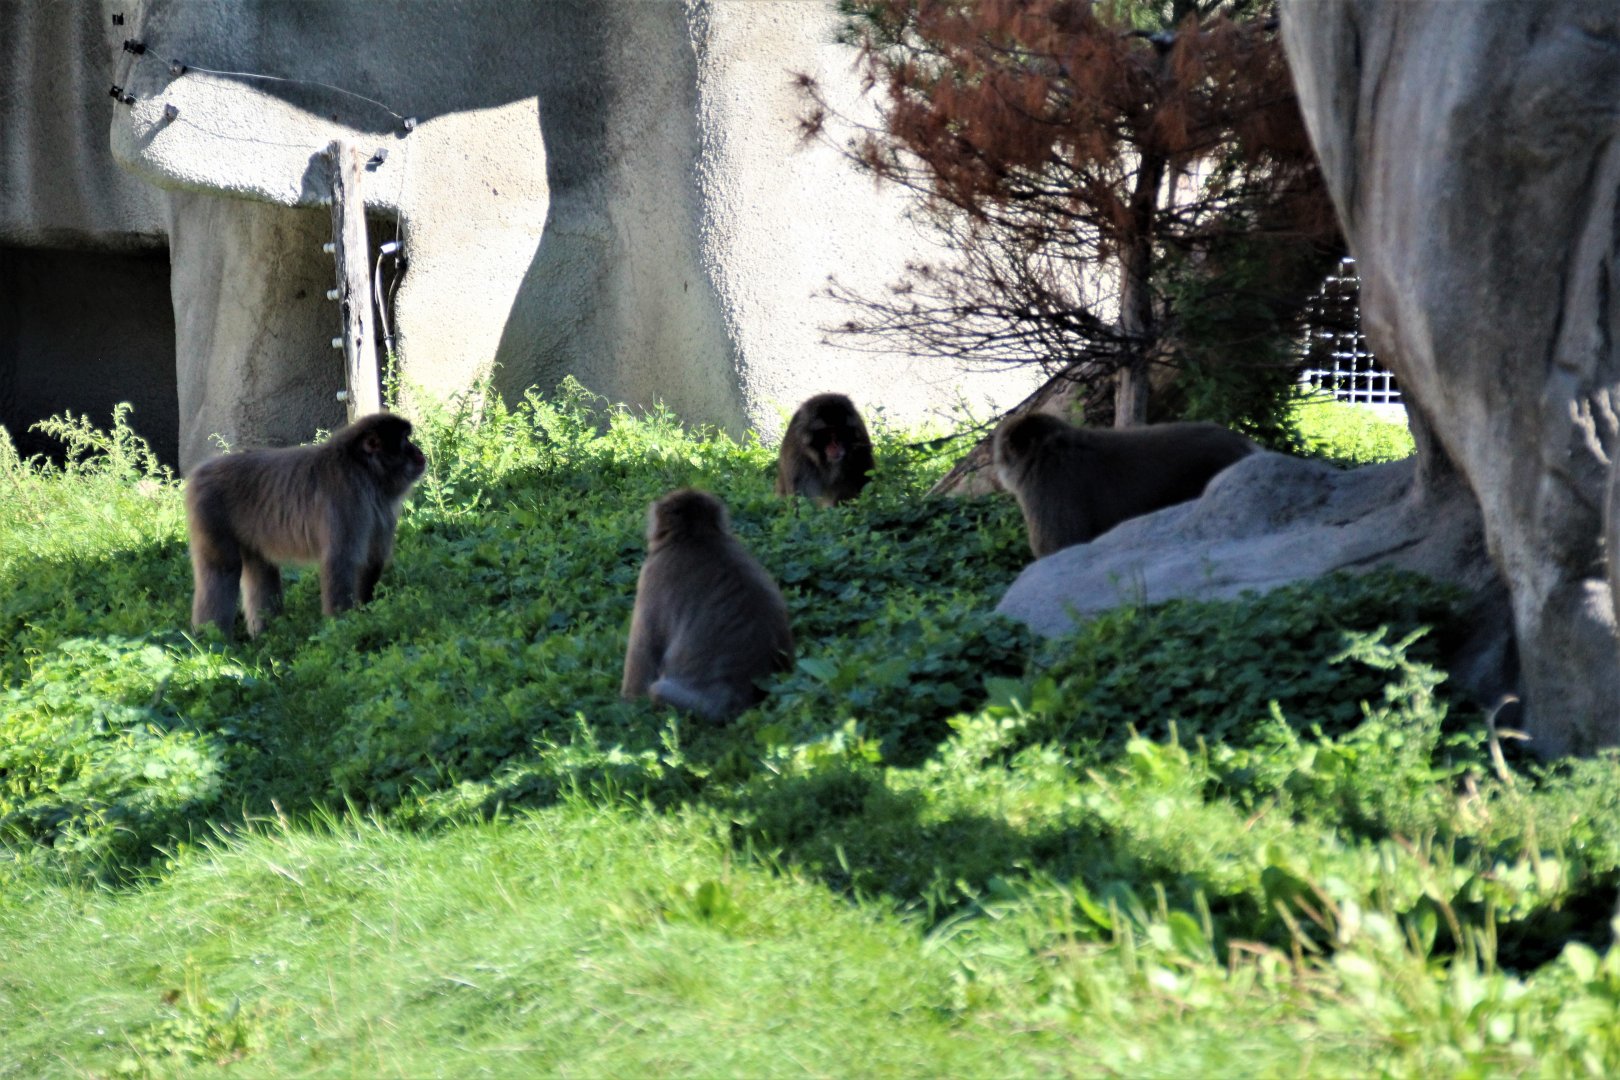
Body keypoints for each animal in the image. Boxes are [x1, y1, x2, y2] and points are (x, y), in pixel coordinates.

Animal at [186, 412, 426, 637]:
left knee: (261, 567)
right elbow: (340, 560)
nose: (418, 452)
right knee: (222, 567)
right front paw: (343, 628)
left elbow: (372, 560)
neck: (363, 469)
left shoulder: (379, 508)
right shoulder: (348, 499)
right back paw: (211, 640)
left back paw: (267, 635)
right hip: (209, 509)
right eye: (404, 440)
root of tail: (201, 470)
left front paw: (364, 614)